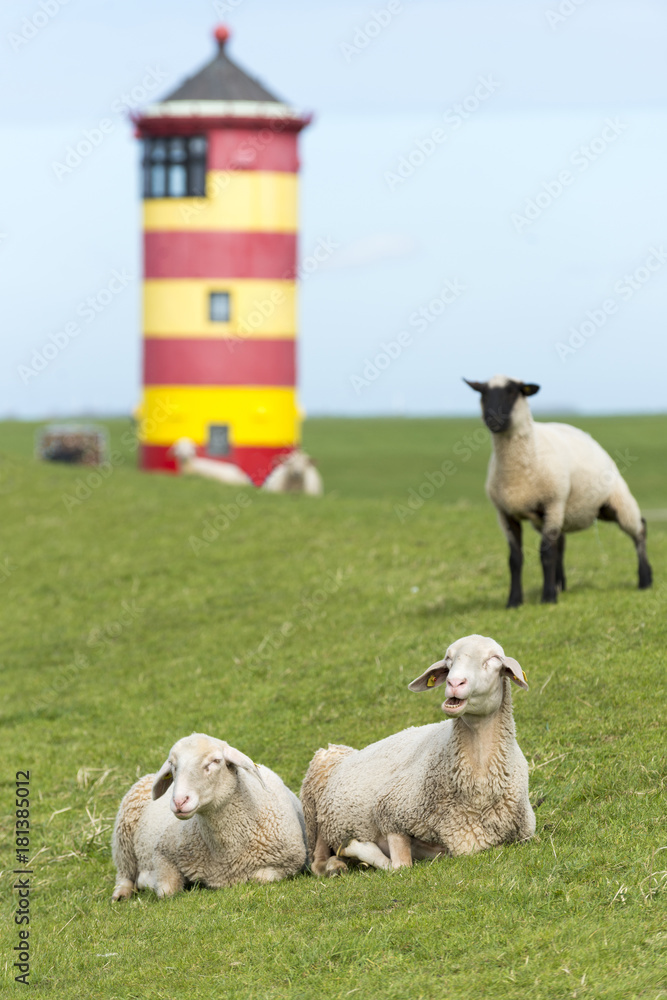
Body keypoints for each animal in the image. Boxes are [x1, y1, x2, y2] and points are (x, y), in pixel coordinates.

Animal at [111, 733, 307, 899]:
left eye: (215, 761)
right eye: (173, 765)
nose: (179, 801)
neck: (227, 852)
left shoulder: (289, 863)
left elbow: (261, 878)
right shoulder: (162, 852)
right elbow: (166, 889)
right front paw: (149, 880)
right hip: (123, 837)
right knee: (124, 874)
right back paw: (120, 894)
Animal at [300, 634, 534, 876]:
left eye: (494, 659)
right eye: (448, 660)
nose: (454, 683)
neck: (476, 793)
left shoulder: (516, 837)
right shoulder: (389, 812)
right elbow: (399, 866)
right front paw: (357, 846)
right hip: (315, 812)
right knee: (317, 862)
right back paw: (336, 864)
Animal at [465, 375, 653, 606]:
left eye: (513, 392)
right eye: (482, 393)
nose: (493, 419)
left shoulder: (552, 503)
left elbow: (546, 554)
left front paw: (547, 598)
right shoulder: (506, 514)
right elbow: (515, 559)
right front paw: (514, 601)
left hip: (615, 501)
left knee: (639, 530)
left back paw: (645, 580)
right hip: (558, 514)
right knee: (560, 543)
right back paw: (560, 585)